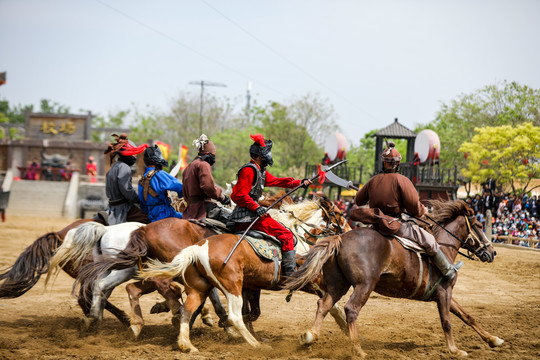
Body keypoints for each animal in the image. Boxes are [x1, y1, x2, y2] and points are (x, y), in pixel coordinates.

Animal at [137, 197, 352, 352]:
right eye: (339, 214)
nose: (351, 230)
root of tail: (198, 248)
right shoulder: (309, 280)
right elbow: (331, 303)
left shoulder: (252, 287)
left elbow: (253, 313)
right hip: (232, 287)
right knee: (233, 315)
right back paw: (255, 345)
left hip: (200, 289)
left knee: (187, 310)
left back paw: (186, 343)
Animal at [282, 200, 502, 358]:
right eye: (480, 225)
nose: (492, 252)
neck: (443, 247)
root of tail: (341, 238)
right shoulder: (444, 292)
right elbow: (447, 321)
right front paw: (455, 350)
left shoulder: (445, 293)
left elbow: (467, 316)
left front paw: (492, 339)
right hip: (364, 286)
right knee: (351, 310)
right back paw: (357, 349)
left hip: (338, 285)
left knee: (324, 305)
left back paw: (311, 335)